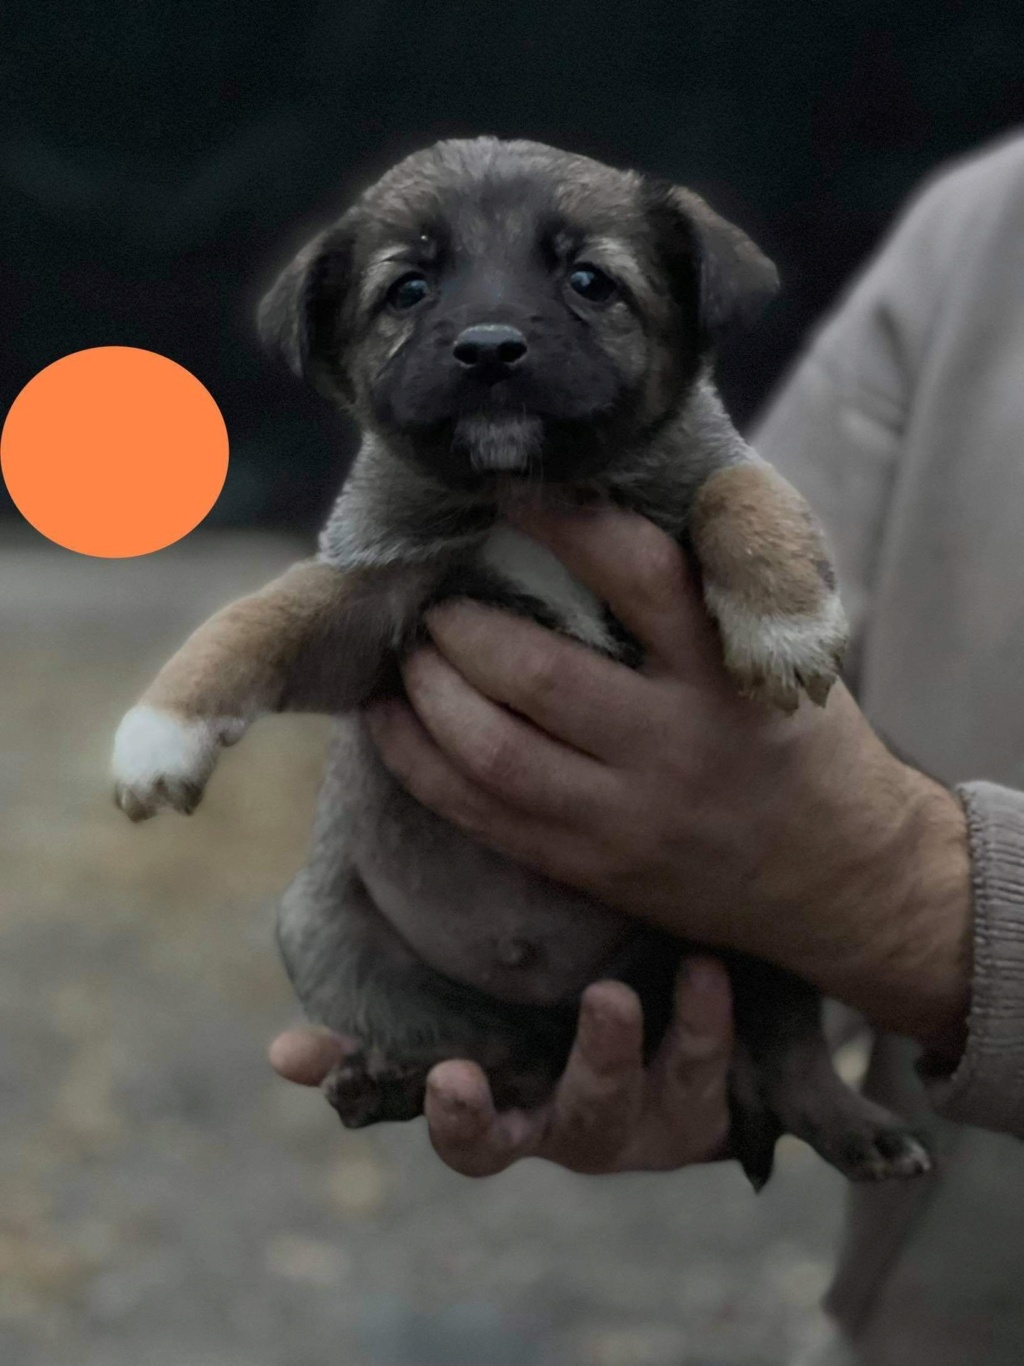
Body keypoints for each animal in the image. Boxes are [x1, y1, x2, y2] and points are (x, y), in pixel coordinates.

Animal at [110, 133, 928, 1191]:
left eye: (590, 281)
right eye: (409, 289)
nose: (491, 349)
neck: (524, 493)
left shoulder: (705, 470)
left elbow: (744, 491)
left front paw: (783, 618)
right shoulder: (374, 601)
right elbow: (257, 616)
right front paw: (158, 732)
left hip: (774, 920)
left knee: (786, 1044)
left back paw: (850, 1123)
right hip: (331, 942)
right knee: (509, 1061)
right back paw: (391, 1081)